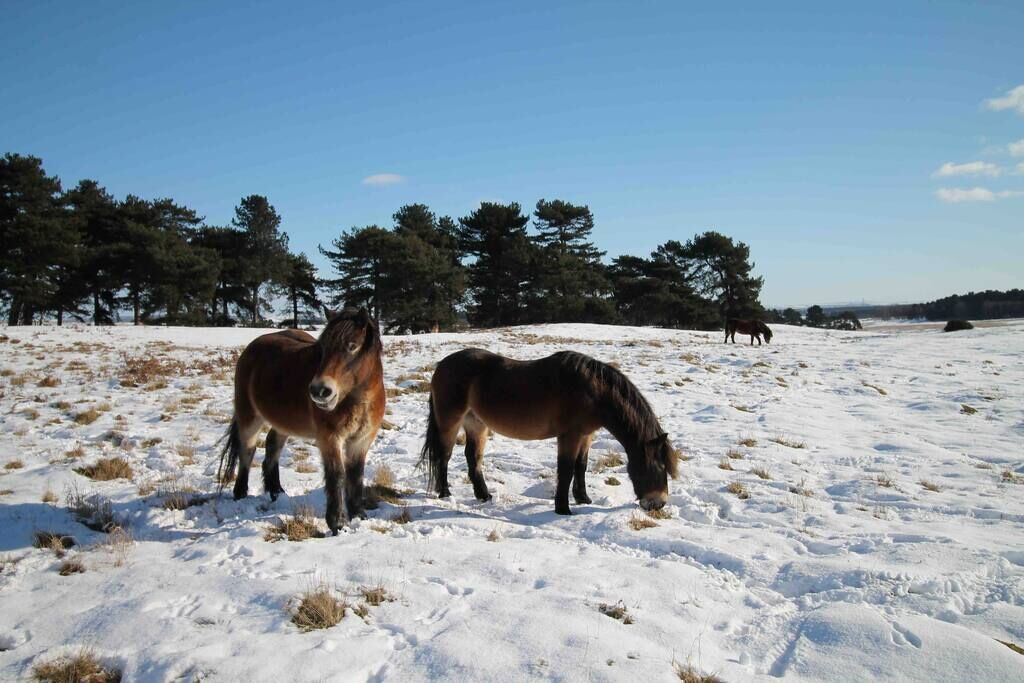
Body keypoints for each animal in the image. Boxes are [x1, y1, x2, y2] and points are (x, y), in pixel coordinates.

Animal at [218, 308, 385, 534]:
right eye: (322, 348)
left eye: (352, 346)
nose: (319, 391)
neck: (357, 399)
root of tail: (253, 347)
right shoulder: (330, 438)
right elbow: (337, 475)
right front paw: (338, 523)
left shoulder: (361, 440)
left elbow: (356, 475)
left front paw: (359, 515)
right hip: (249, 417)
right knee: (247, 452)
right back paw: (240, 494)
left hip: (282, 422)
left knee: (272, 447)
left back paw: (277, 493)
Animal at [418, 349, 678, 515]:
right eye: (659, 467)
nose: (659, 504)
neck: (593, 392)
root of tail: (442, 365)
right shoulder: (570, 435)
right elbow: (566, 469)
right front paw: (563, 508)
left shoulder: (586, 434)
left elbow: (581, 466)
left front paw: (583, 499)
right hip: (450, 422)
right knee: (443, 456)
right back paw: (445, 493)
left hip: (476, 424)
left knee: (473, 458)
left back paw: (484, 495)